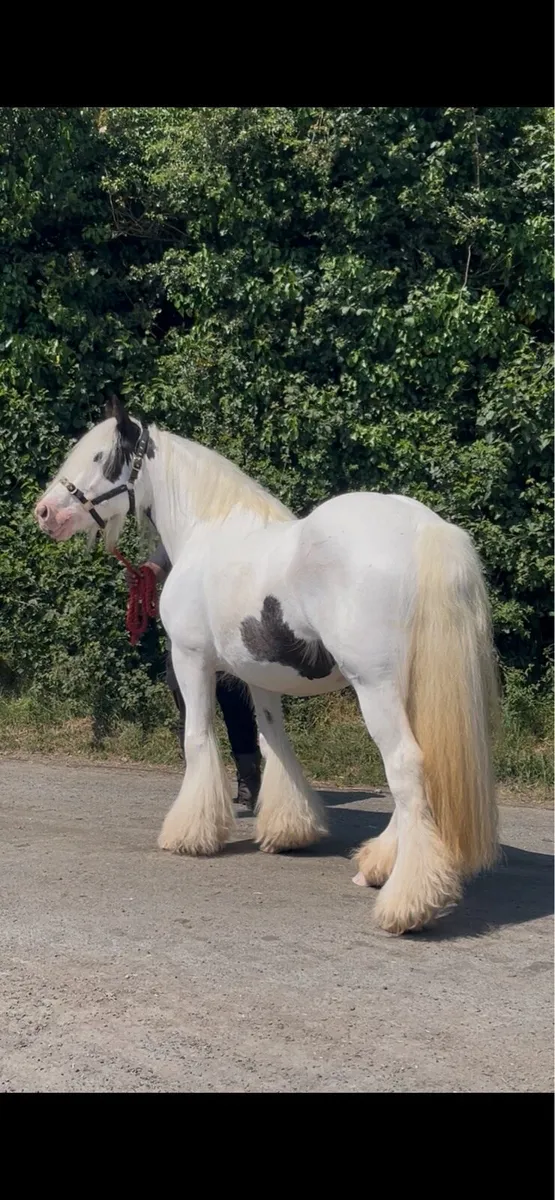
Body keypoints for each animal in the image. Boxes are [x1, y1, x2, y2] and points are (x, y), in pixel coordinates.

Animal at [34, 397, 499, 934]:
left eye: (101, 457)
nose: (45, 512)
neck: (206, 530)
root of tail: (425, 528)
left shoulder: (192, 661)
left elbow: (198, 739)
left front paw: (190, 833)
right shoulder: (259, 675)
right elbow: (272, 740)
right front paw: (289, 828)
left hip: (376, 687)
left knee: (405, 765)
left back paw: (407, 901)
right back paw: (380, 863)